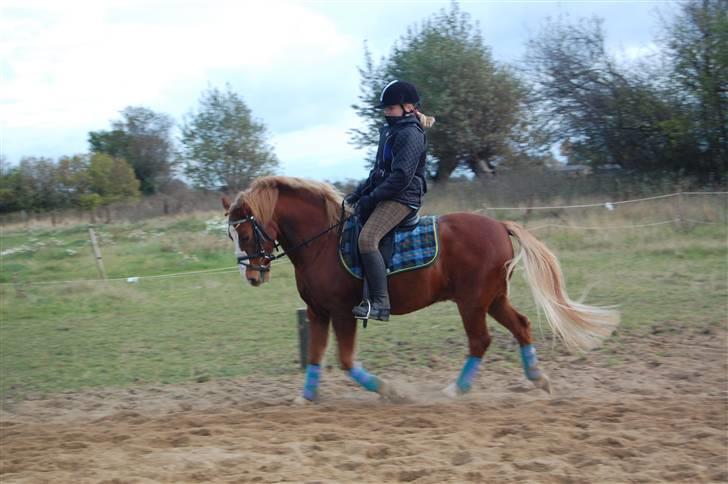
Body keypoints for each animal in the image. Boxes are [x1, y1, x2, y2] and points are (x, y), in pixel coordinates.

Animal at [223, 177, 620, 400]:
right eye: (231, 235)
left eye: (246, 233)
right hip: (493, 299)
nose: (252, 276)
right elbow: (317, 356)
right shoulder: (318, 313)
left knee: (480, 341)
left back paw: (456, 390)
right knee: (520, 326)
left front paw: (391, 391)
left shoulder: (342, 312)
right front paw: (305, 398)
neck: (322, 243)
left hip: (472, 302)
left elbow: (347, 360)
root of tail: (498, 225)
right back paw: (538, 379)